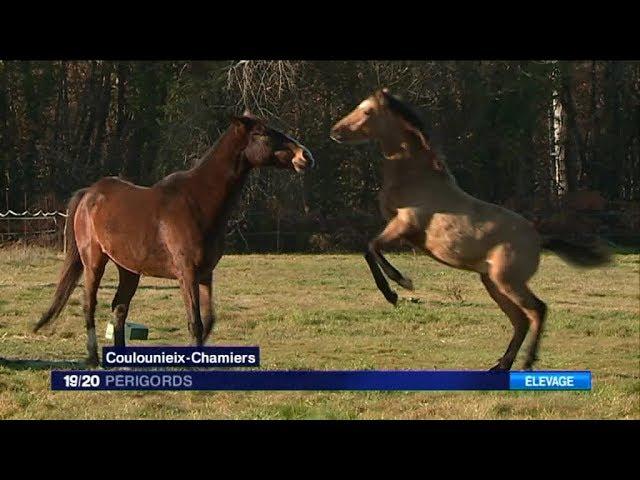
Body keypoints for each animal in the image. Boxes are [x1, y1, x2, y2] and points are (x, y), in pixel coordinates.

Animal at [35, 113, 316, 368]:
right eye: (262, 133)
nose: (305, 156)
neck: (199, 202)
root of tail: (88, 194)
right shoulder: (187, 273)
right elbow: (195, 322)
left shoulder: (205, 274)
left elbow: (208, 320)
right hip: (94, 261)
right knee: (89, 305)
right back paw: (93, 358)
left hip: (129, 269)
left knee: (119, 308)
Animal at [330, 89, 608, 372]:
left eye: (367, 111)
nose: (335, 131)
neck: (416, 176)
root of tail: (539, 238)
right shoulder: (398, 229)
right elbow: (370, 249)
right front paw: (394, 291)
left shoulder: (404, 224)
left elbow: (372, 248)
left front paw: (398, 288)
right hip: (493, 282)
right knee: (520, 320)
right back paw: (500, 365)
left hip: (508, 281)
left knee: (537, 310)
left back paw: (526, 362)